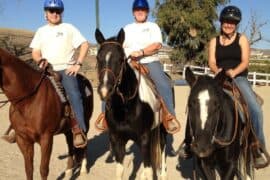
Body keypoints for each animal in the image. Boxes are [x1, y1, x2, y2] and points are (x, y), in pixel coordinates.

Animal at [0, 48, 93, 180]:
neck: (29, 100)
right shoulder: (22, 139)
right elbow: (28, 169)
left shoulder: (46, 138)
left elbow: (43, 169)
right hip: (68, 129)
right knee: (70, 145)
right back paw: (69, 171)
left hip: (86, 122)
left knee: (84, 144)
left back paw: (84, 169)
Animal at [94, 28, 167, 179]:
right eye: (98, 58)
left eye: (121, 59)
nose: (104, 90)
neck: (125, 108)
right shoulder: (117, 140)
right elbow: (120, 171)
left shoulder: (144, 139)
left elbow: (148, 169)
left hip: (161, 128)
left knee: (163, 146)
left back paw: (163, 174)